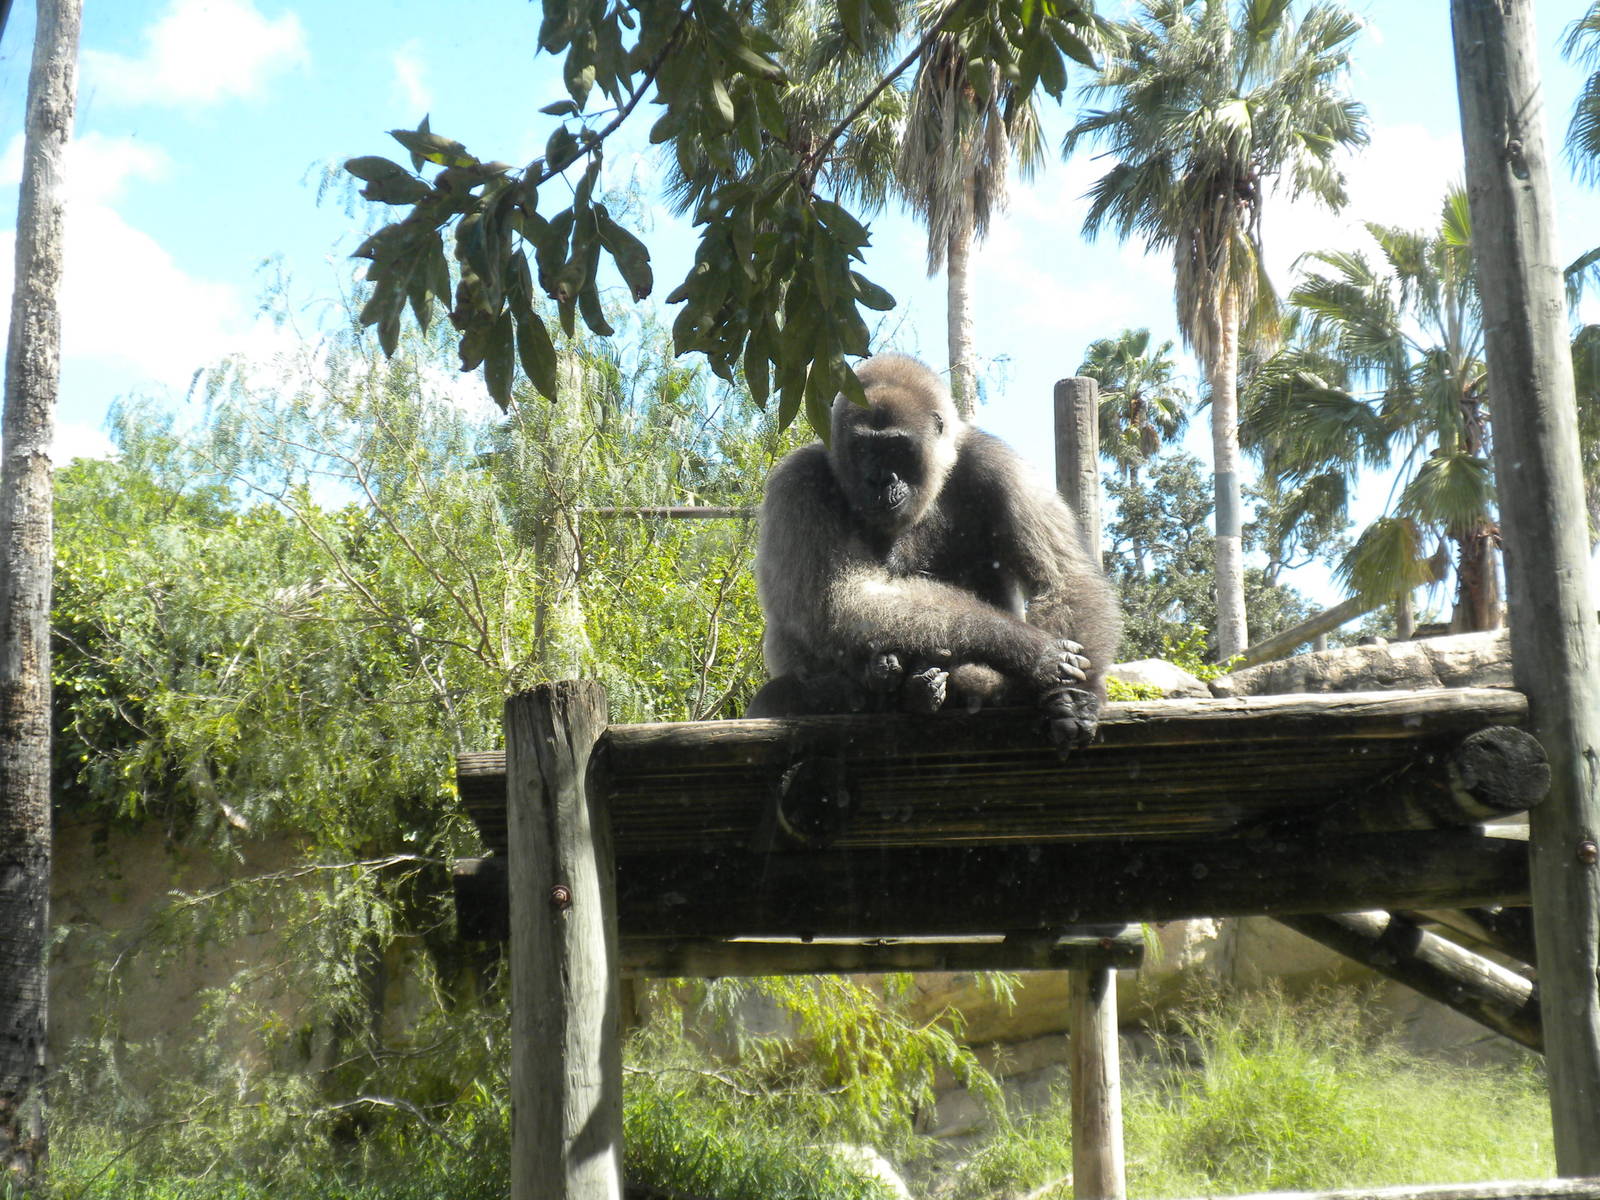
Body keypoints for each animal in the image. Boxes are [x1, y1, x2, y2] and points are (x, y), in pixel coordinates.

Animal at [744, 353, 1121, 748]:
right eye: (862, 449)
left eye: (896, 449)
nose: (879, 480)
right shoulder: (799, 479)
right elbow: (838, 597)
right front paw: (1030, 649)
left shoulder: (996, 461)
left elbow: (1062, 578)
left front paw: (1077, 697)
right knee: (777, 695)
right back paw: (880, 682)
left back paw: (917, 685)